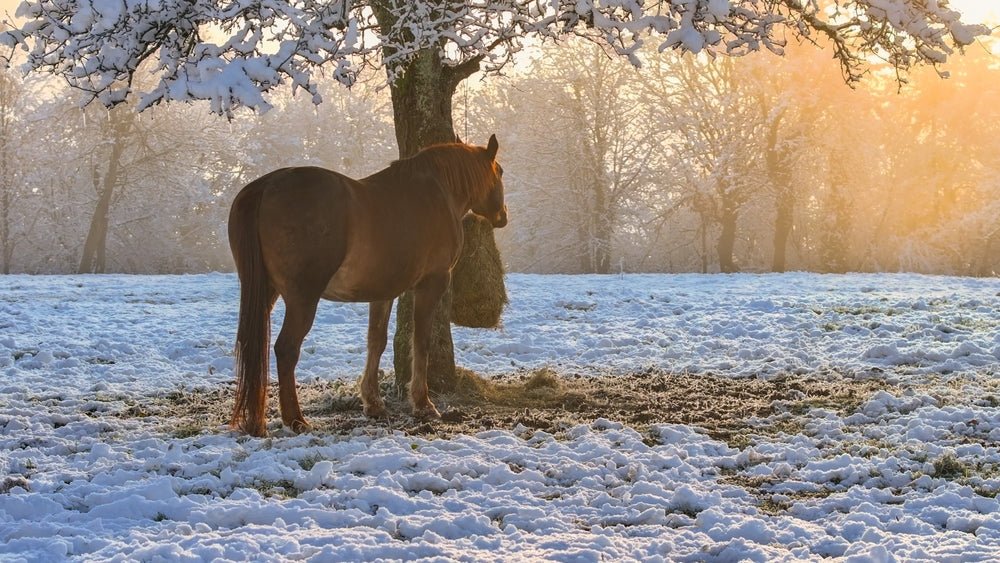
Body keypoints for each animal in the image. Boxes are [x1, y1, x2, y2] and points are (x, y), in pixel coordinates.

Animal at [227, 135, 508, 437]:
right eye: (501, 172)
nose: (503, 216)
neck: (438, 192)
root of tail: (266, 186)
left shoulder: (383, 292)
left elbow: (376, 342)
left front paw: (373, 403)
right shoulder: (432, 283)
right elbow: (421, 342)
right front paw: (423, 404)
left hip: (265, 293)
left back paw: (255, 420)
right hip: (302, 299)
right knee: (286, 349)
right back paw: (296, 419)